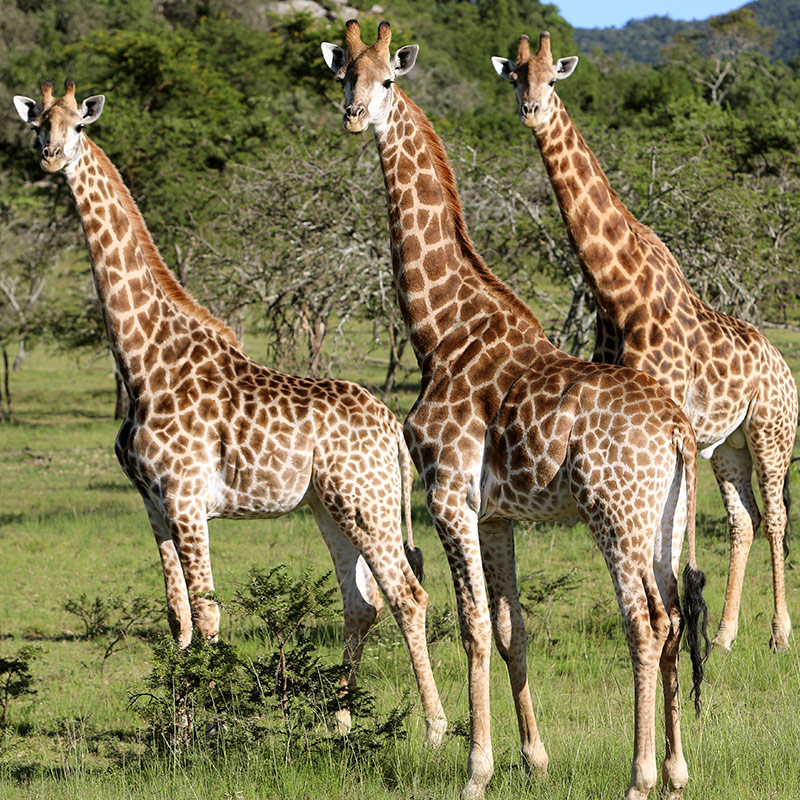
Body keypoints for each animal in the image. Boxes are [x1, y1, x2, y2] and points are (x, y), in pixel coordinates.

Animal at [12, 79, 447, 743]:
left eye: (77, 125)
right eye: (37, 123)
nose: (51, 155)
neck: (142, 361)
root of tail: (391, 428)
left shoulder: (188, 498)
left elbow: (210, 614)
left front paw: (208, 727)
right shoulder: (153, 504)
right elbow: (178, 615)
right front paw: (177, 726)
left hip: (367, 502)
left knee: (407, 596)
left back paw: (433, 728)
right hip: (327, 506)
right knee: (361, 603)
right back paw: (340, 720)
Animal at [323, 20, 709, 800]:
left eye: (386, 80)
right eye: (344, 74)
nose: (351, 117)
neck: (439, 329)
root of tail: (680, 431)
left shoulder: (448, 495)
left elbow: (471, 626)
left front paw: (476, 768)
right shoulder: (496, 513)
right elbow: (511, 630)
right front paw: (533, 758)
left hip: (614, 514)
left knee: (646, 623)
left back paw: (640, 775)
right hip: (663, 518)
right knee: (675, 617)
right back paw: (678, 770)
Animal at [492, 31, 798, 652]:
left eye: (553, 79)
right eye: (514, 76)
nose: (531, 112)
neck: (617, 293)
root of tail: (787, 372)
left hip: (770, 433)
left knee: (777, 516)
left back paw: (779, 635)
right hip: (725, 446)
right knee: (745, 519)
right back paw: (725, 635)